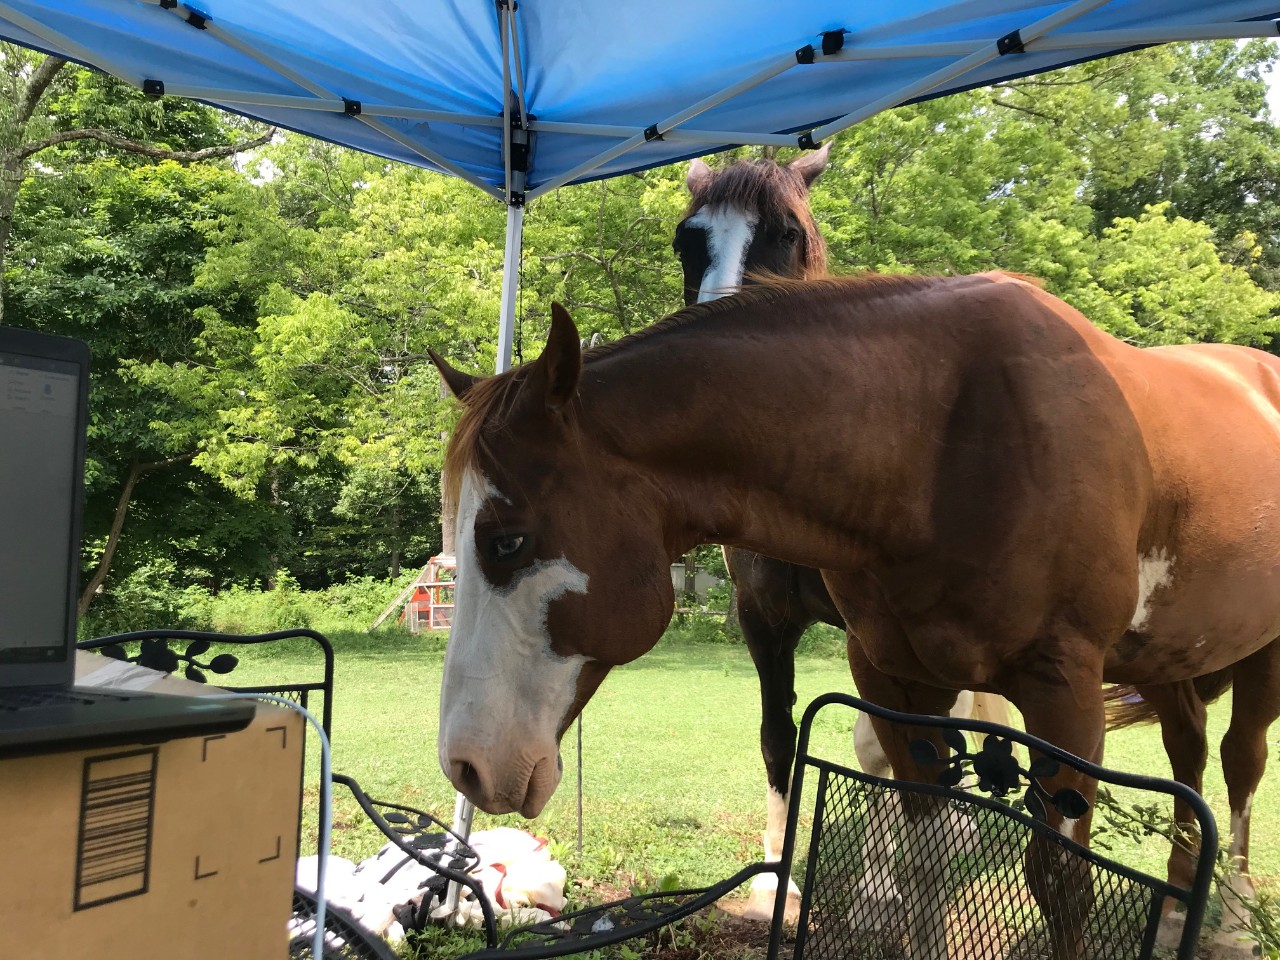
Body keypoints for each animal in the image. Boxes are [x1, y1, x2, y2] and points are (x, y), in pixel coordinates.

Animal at [431, 274, 1280, 959]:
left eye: (506, 541)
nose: (465, 766)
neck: (938, 446)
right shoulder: (900, 683)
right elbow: (924, 856)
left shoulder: (1063, 695)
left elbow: (1062, 885)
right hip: (1172, 656)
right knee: (1189, 755)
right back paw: (1181, 912)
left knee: (1239, 766)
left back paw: (1236, 921)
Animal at [675, 148, 1014, 920]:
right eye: (687, 241)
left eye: (787, 235)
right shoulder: (764, 621)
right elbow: (781, 739)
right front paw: (777, 883)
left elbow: (911, 747)